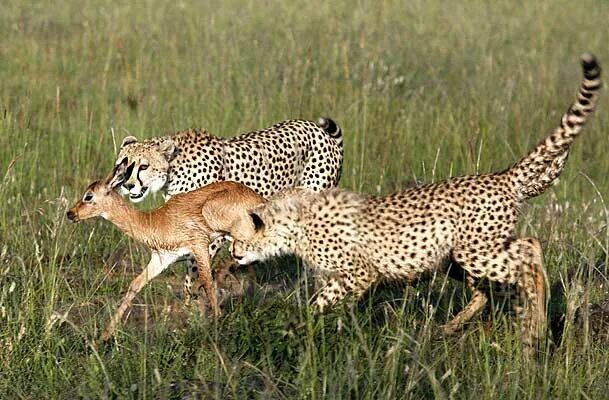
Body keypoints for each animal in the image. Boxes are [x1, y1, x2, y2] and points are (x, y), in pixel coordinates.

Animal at [108, 117, 342, 302]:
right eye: (121, 164)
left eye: (143, 166)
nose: (127, 185)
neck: (173, 168)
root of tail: (316, 128)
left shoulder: (209, 230)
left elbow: (195, 266)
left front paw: (193, 302)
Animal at [230, 54, 600, 354]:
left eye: (236, 236)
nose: (232, 254)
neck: (289, 221)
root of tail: (500, 176)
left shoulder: (360, 272)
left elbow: (323, 302)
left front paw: (306, 326)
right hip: (457, 257)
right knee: (494, 283)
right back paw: (450, 329)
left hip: (475, 250)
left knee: (530, 255)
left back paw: (536, 333)